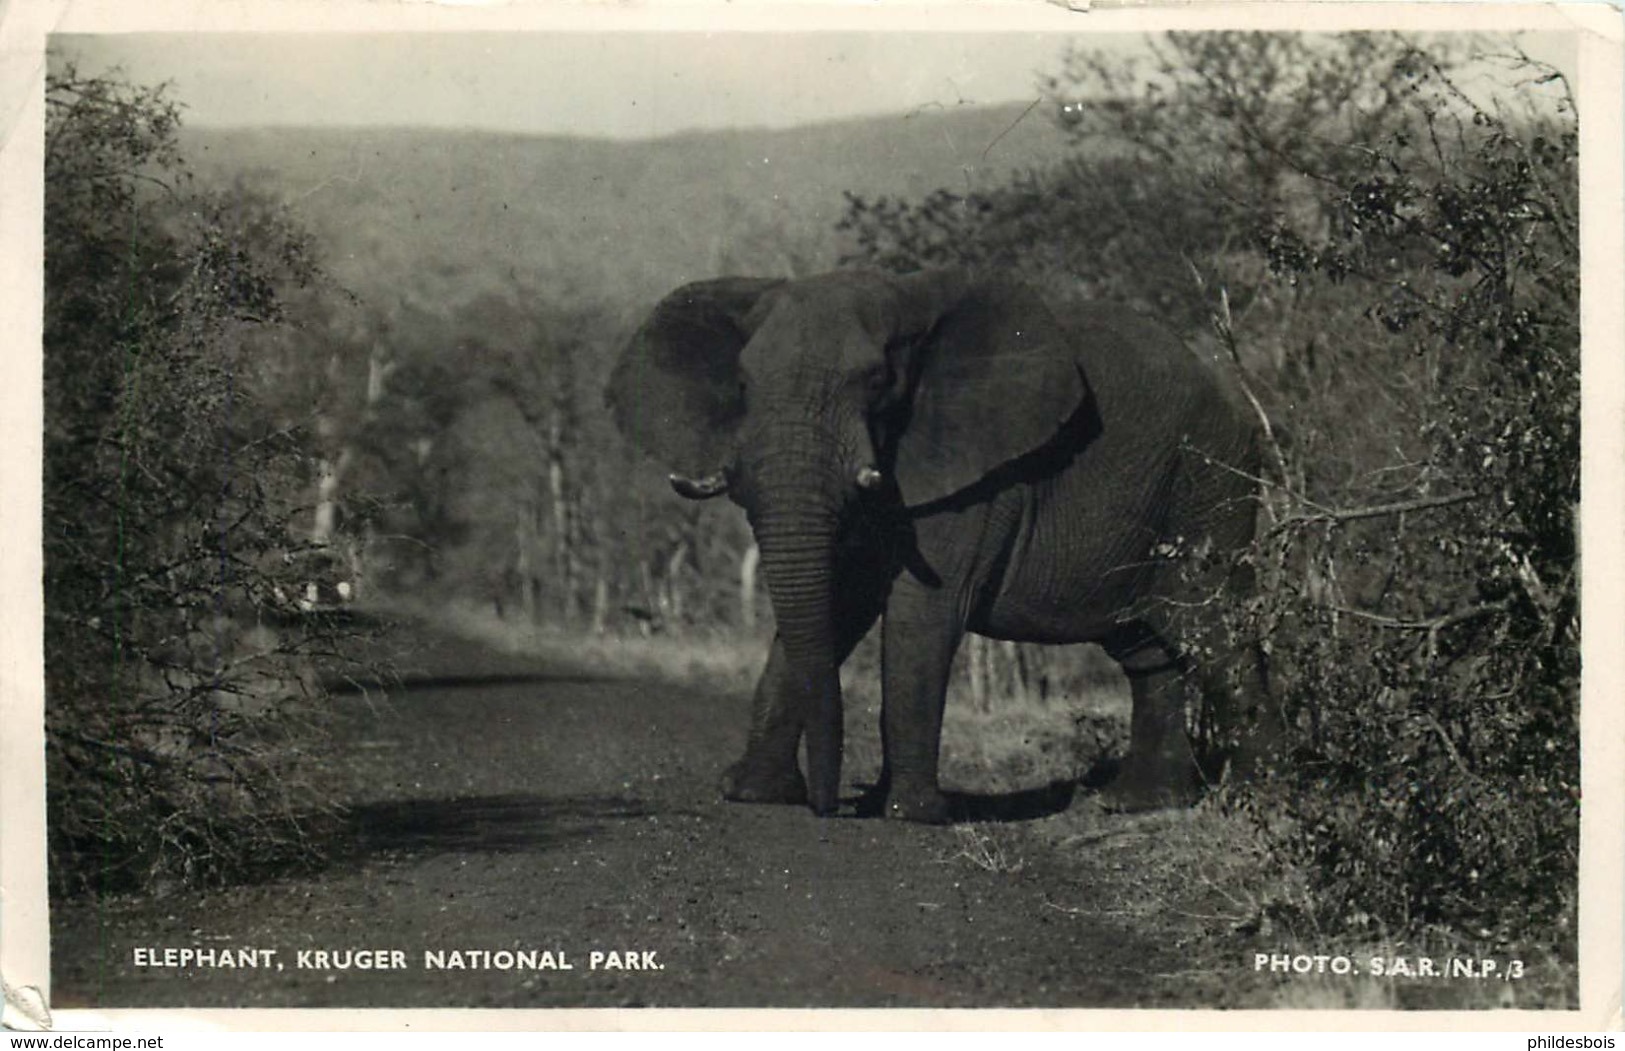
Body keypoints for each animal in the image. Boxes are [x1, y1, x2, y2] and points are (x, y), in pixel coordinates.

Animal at [607, 264, 1267, 821]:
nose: (828, 804)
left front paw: (907, 813)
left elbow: (920, 611)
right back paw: (1138, 804)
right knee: (1149, 650)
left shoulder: (977, 473)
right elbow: (839, 602)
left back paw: (1256, 799)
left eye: (877, 381)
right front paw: (753, 795)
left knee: (1213, 629)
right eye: (743, 384)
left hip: (1210, 486)